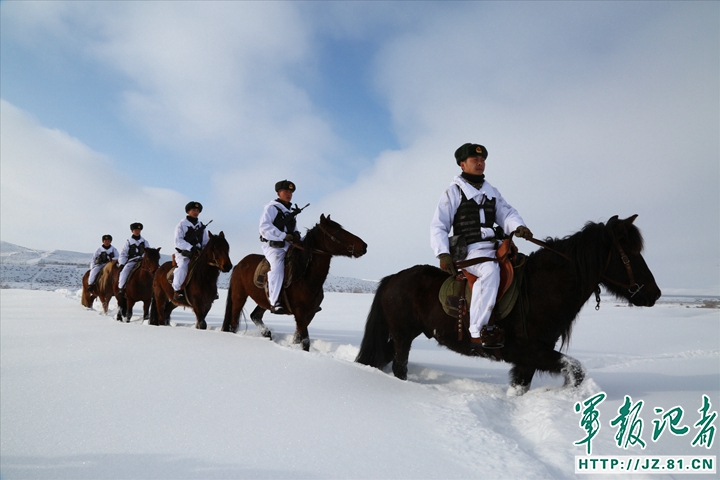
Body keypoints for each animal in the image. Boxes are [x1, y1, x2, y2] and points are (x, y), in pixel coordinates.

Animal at [222, 214, 367, 351]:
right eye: (337, 231)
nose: (364, 246)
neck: (305, 277)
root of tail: (238, 265)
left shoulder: (310, 313)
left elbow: (297, 339)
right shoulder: (300, 313)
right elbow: (305, 342)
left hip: (264, 301)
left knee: (255, 316)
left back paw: (267, 333)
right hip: (239, 297)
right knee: (234, 324)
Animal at [356, 214, 661, 395]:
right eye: (631, 254)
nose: (655, 294)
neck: (541, 288)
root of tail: (392, 279)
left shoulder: (528, 359)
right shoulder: (528, 352)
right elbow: (575, 370)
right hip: (404, 334)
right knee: (399, 367)